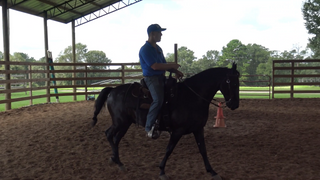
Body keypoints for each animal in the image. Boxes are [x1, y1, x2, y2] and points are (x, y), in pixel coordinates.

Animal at [91, 62, 239, 179]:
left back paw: (116, 160)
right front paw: (162, 171)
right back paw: (118, 162)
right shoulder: (178, 131)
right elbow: (169, 149)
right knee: (109, 134)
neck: (192, 97)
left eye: (238, 82)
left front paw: (212, 172)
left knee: (116, 139)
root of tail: (112, 90)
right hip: (119, 122)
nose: (234, 104)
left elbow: (203, 150)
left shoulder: (198, 129)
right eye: (229, 81)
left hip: (125, 123)